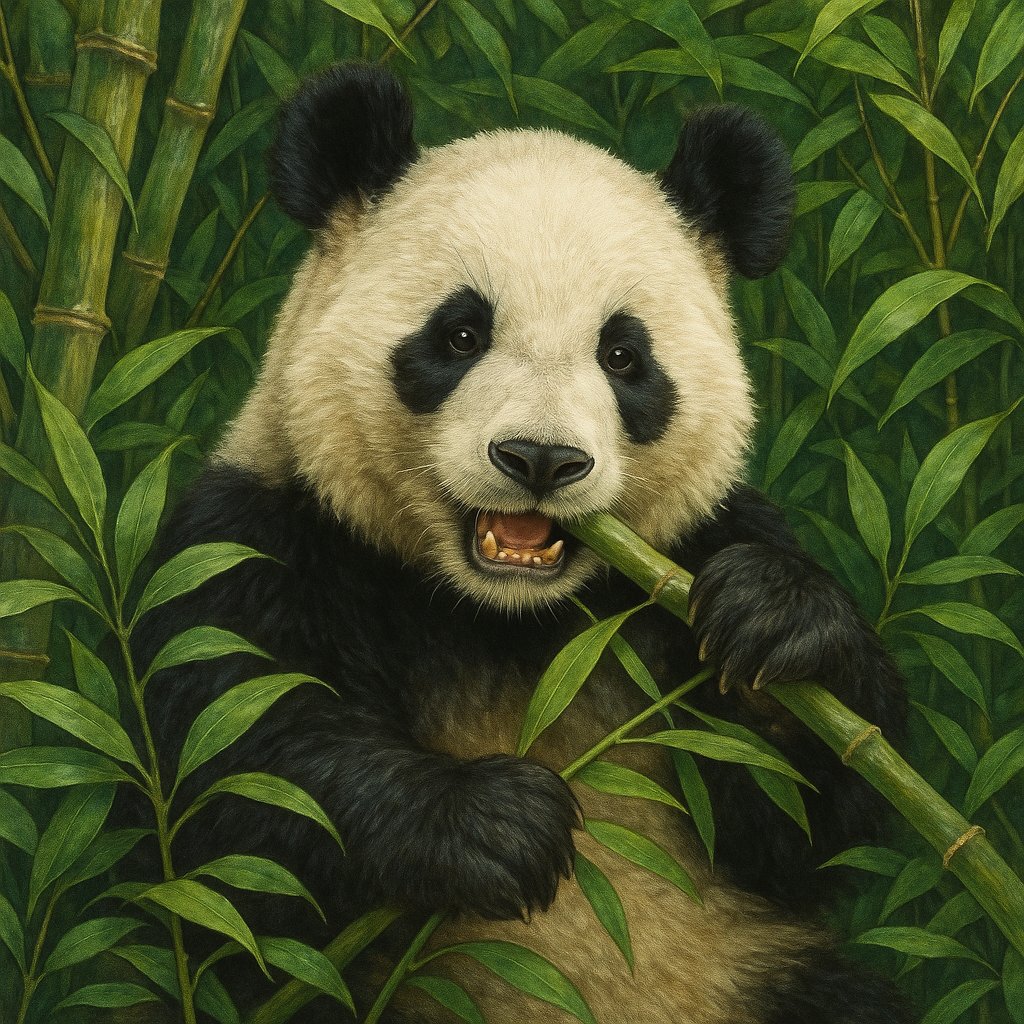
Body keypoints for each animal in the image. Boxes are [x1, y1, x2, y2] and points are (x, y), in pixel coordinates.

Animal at [139, 63, 912, 1024]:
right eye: (461, 334)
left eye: (623, 356)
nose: (541, 458)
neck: (502, 618)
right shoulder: (256, 542)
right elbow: (233, 783)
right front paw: (493, 822)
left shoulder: (688, 552)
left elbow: (805, 812)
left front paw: (776, 621)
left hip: (758, 976)